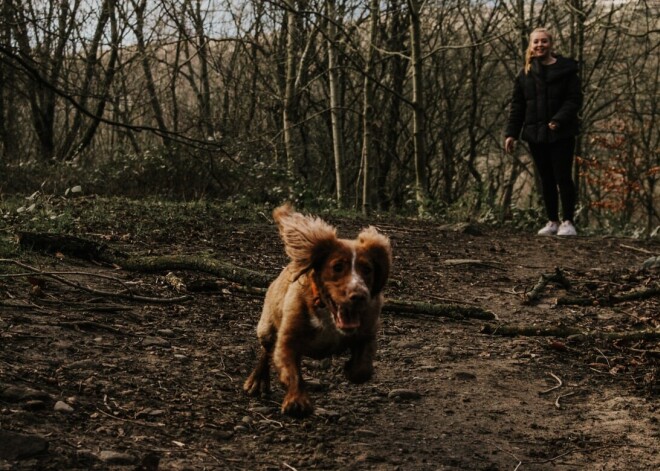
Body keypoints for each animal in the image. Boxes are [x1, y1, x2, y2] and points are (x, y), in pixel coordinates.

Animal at [246, 205, 392, 418]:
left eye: (367, 269)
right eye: (337, 267)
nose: (359, 295)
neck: (328, 316)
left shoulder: (368, 330)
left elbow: (363, 369)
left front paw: (350, 369)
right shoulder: (287, 339)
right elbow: (291, 370)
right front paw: (297, 400)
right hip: (266, 328)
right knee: (266, 351)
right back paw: (257, 381)